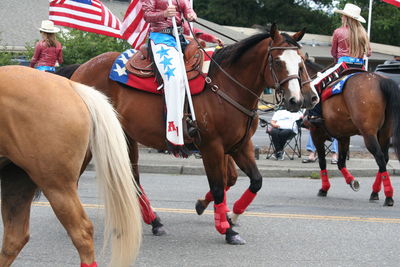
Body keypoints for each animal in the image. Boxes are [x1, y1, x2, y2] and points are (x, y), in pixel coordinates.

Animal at [70, 24, 318, 245]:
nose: (297, 100)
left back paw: (155, 222)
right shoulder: (212, 147)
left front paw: (229, 214)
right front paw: (226, 230)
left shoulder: (240, 146)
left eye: (300, 63)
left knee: (133, 178)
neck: (226, 86)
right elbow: (218, 187)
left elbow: (254, 181)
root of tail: (81, 70)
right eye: (277, 61)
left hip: (126, 136)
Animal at [304, 59, 400, 207]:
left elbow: (322, 162)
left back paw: (388, 196)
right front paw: (352, 181)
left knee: (379, 157)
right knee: (384, 158)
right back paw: (375, 192)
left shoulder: (316, 134)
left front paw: (324, 188)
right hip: (384, 134)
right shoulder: (343, 136)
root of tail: (380, 80)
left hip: (369, 134)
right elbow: (341, 162)